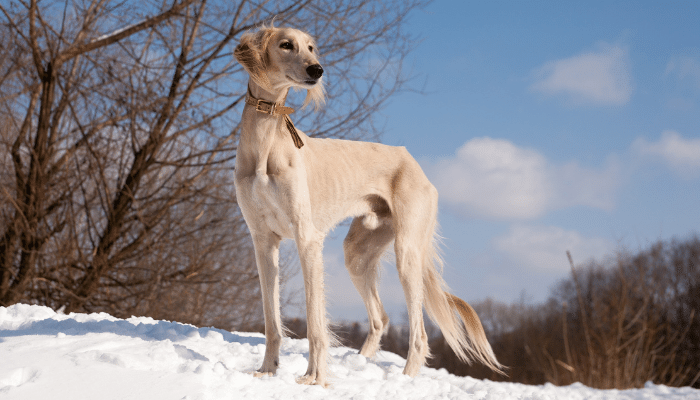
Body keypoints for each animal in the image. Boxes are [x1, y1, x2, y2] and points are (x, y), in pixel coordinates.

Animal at [235, 25, 504, 388]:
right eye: (286, 45)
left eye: (311, 47)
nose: (317, 71)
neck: (266, 145)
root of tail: (413, 162)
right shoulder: (263, 242)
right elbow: (271, 319)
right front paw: (267, 370)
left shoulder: (307, 239)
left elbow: (316, 322)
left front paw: (315, 378)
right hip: (358, 253)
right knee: (381, 318)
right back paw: (362, 362)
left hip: (407, 253)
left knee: (419, 336)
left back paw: (403, 381)